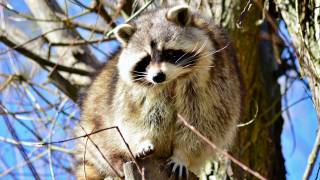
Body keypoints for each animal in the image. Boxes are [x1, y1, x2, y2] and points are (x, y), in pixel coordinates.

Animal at [75, 4, 242, 179]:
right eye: (146, 60)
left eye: (169, 53)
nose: (158, 76)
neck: (172, 80)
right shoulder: (136, 93)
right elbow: (139, 117)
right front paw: (144, 140)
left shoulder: (211, 85)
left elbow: (202, 124)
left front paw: (182, 155)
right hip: (96, 124)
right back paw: (117, 161)